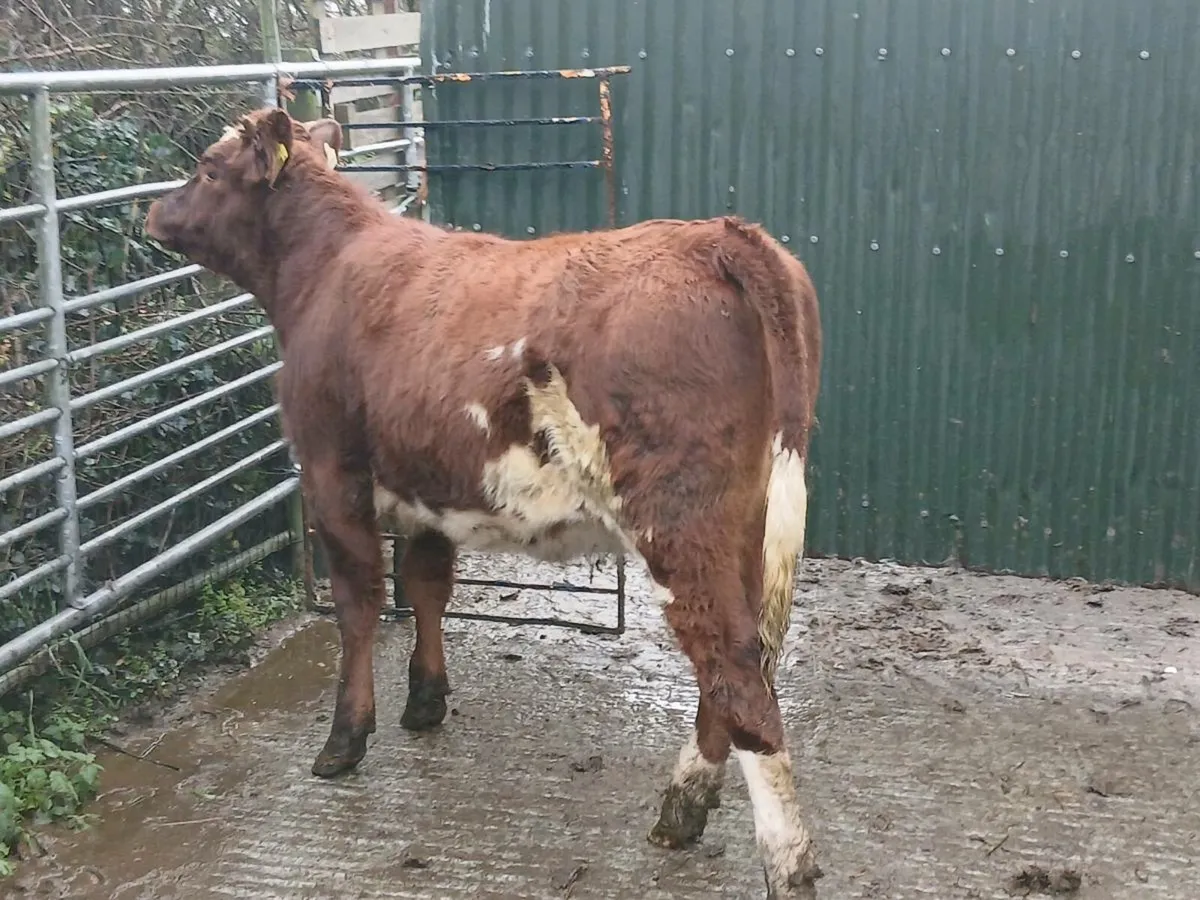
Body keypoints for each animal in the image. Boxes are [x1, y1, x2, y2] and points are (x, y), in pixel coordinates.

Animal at [146, 107, 823, 899]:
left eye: (208, 167)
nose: (153, 210)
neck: (326, 270)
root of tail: (715, 234)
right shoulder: (424, 486)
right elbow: (426, 586)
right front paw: (425, 702)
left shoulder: (330, 474)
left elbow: (359, 605)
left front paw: (345, 740)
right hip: (744, 519)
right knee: (742, 661)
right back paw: (682, 809)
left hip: (678, 519)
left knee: (736, 672)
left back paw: (784, 861)